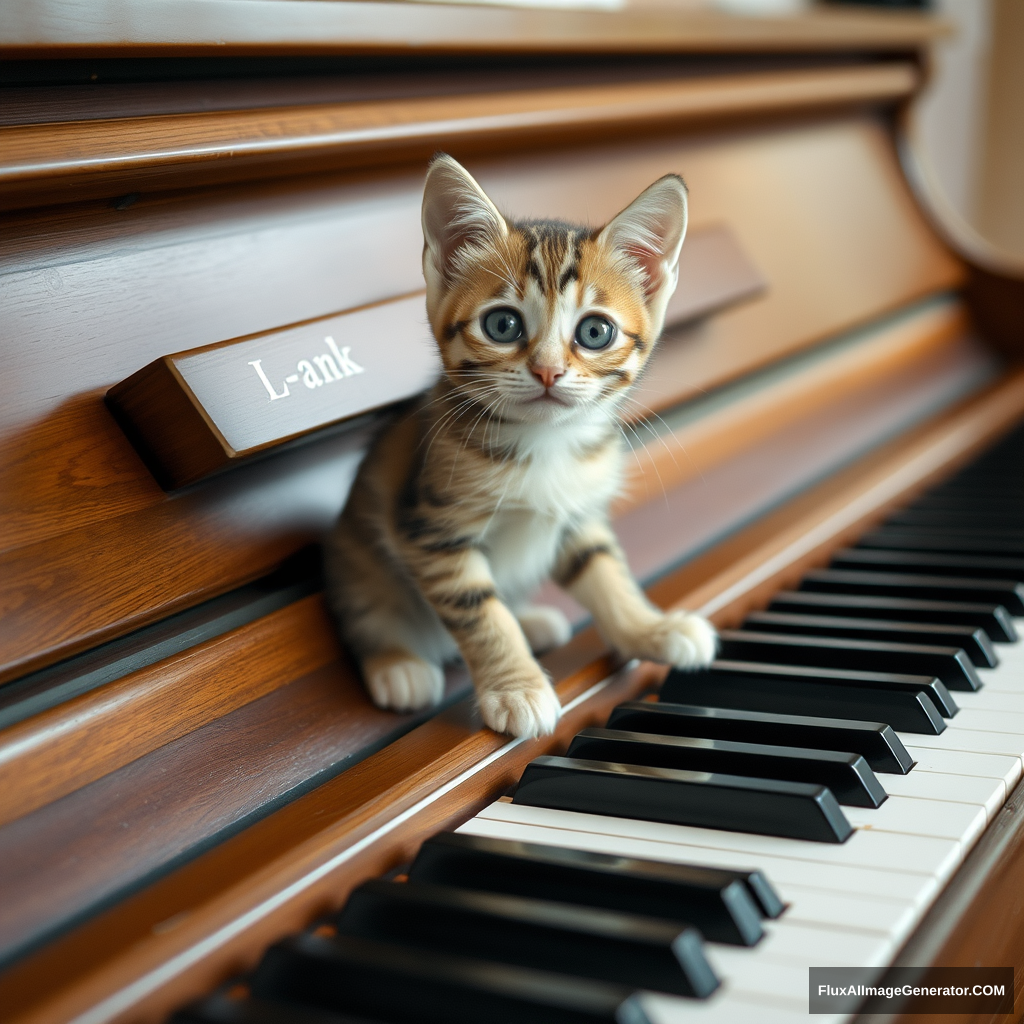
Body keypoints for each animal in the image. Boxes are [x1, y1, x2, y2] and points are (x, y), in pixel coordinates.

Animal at [323, 151, 716, 737]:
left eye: (595, 332)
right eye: (503, 324)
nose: (548, 371)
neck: (543, 443)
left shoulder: (579, 515)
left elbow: (606, 572)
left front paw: (651, 629)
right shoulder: (429, 529)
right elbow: (480, 610)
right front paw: (516, 688)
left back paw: (532, 621)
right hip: (354, 558)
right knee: (367, 611)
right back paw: (398, 664)